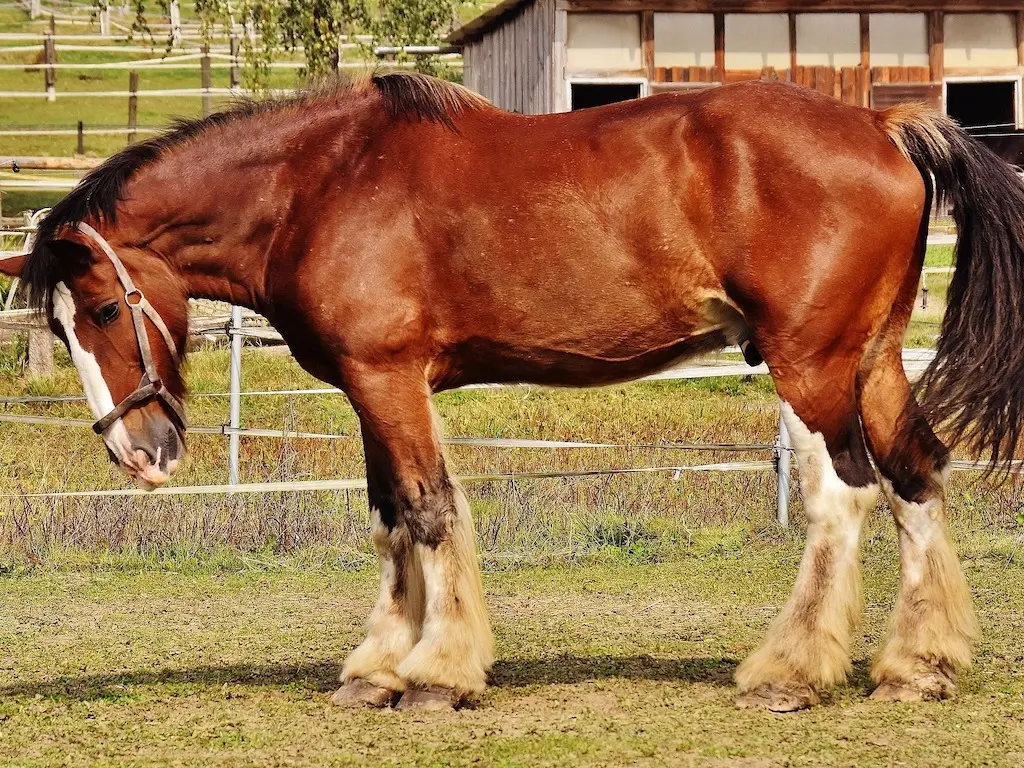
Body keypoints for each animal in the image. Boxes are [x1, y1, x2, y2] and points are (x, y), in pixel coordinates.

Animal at [4, 75, 1019, 712]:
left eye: (105, 307)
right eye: (57, 325)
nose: (136, 453)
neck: (317, 187)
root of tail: (883, 127)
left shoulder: (389, 380)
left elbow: (429, 510)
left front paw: (437, 674)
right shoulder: (372, 389)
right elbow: (389, 517)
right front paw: (377, 668)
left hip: (809, 368)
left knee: (843, 496)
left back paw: (792, 672)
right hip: (872, 359)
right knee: (916, 476)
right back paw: (916, 666)